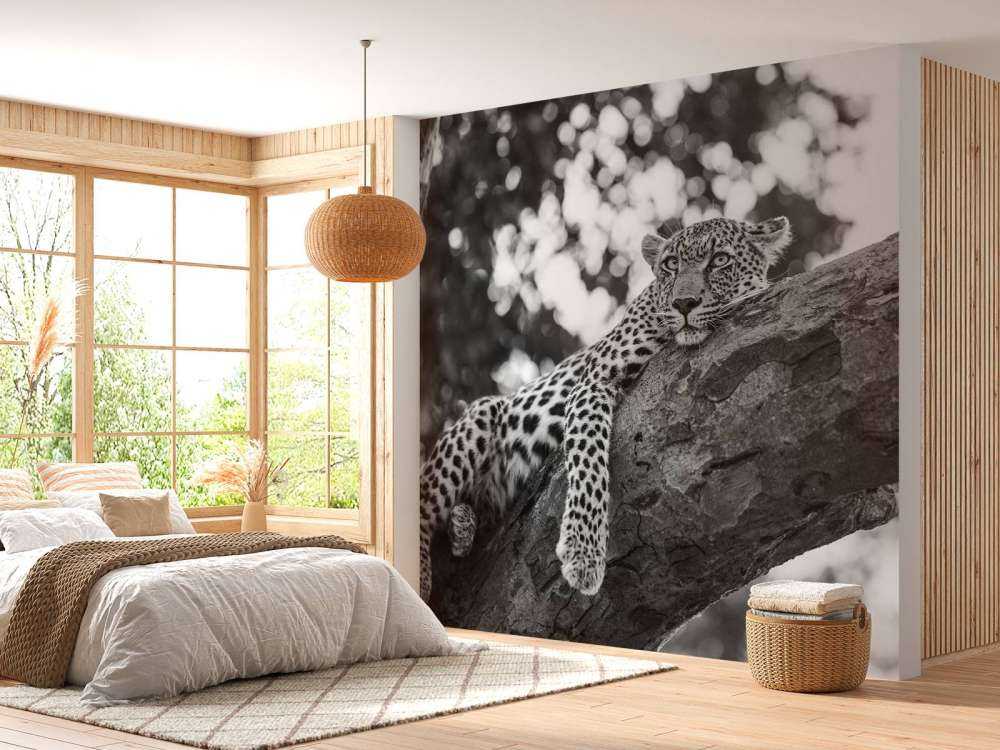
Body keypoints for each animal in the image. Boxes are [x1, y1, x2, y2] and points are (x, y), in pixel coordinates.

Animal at [419, 215, 793, 601]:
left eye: (719, 260)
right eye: (671, 265)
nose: (684, 303)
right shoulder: (593, 380)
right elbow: (588, 457)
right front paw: (583, 553)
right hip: (483, 414)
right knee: (424, 503)